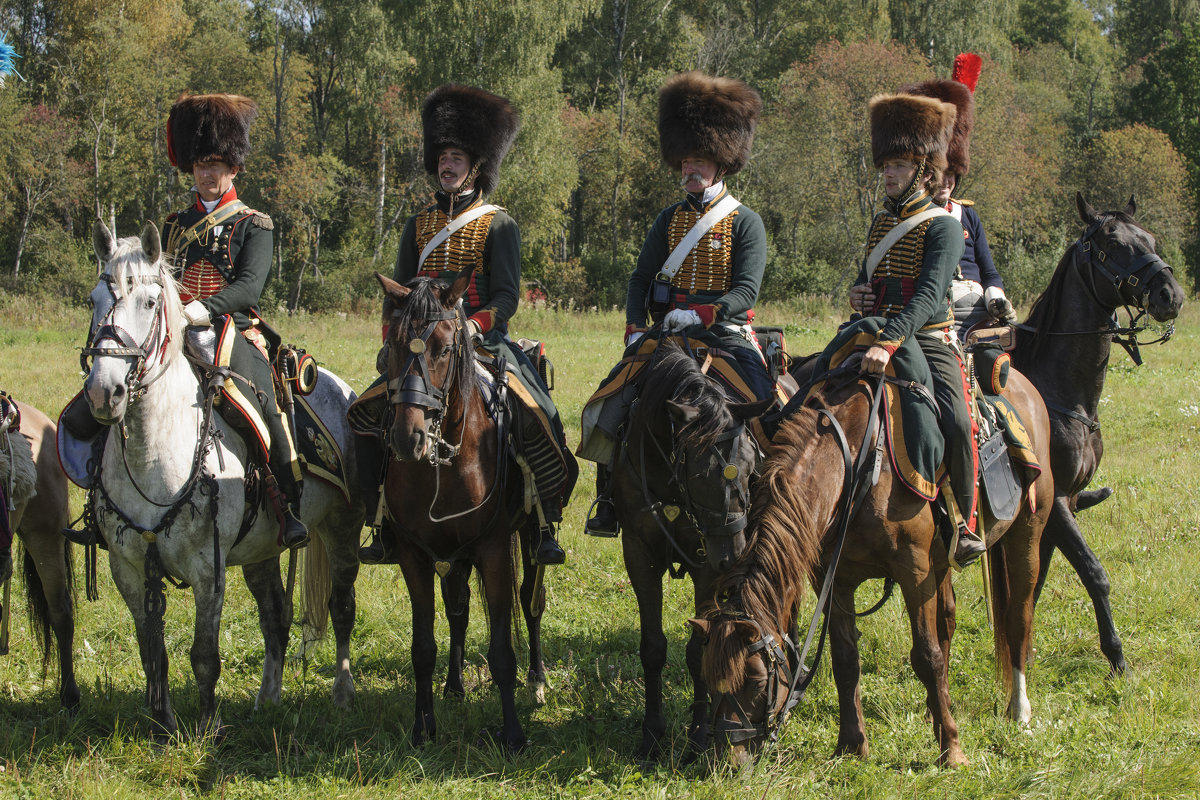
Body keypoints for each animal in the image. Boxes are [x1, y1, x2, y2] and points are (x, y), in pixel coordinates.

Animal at [82, 221, 362, 743]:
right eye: (93, 300)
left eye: (149, 302)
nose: (103, 393)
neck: (155, 452)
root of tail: (344, 391)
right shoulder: (128, 568)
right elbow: (152, 654)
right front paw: (163, 724)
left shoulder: (208, 570)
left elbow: (204, 656)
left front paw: (208, 727)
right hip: (262, 549)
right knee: (275, 617)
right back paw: (267, 697)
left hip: (342, 529)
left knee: (341, 607)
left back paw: (343, 693)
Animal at [374, 267, 549, 753]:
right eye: (393, 344)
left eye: (445, 347)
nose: (407, 438)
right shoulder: (415, 555)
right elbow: (423, 646)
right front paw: (423, 728)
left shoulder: (493, 549)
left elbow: (502, 651)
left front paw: (513, 734)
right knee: (459, 608)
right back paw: (453, 686)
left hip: (528, 538)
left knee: (531, 601)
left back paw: (537, 678)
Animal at [609, 340, 768, 762]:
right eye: (700, 474)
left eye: (750, 464)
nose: (733, 556)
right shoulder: (639, 554)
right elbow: (652, 647)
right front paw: (651, 734)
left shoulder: (707, 567)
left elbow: (699, 651)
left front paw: (698, 735)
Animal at [1008, 194, 1185, 676]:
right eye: (1112, 245)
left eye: (1150, 239)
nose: (1171, 295)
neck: (1060, 394)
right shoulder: (1057, 504)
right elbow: (1094, 572)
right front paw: (1117, 656)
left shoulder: (1061, 504)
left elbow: (1037, 576)